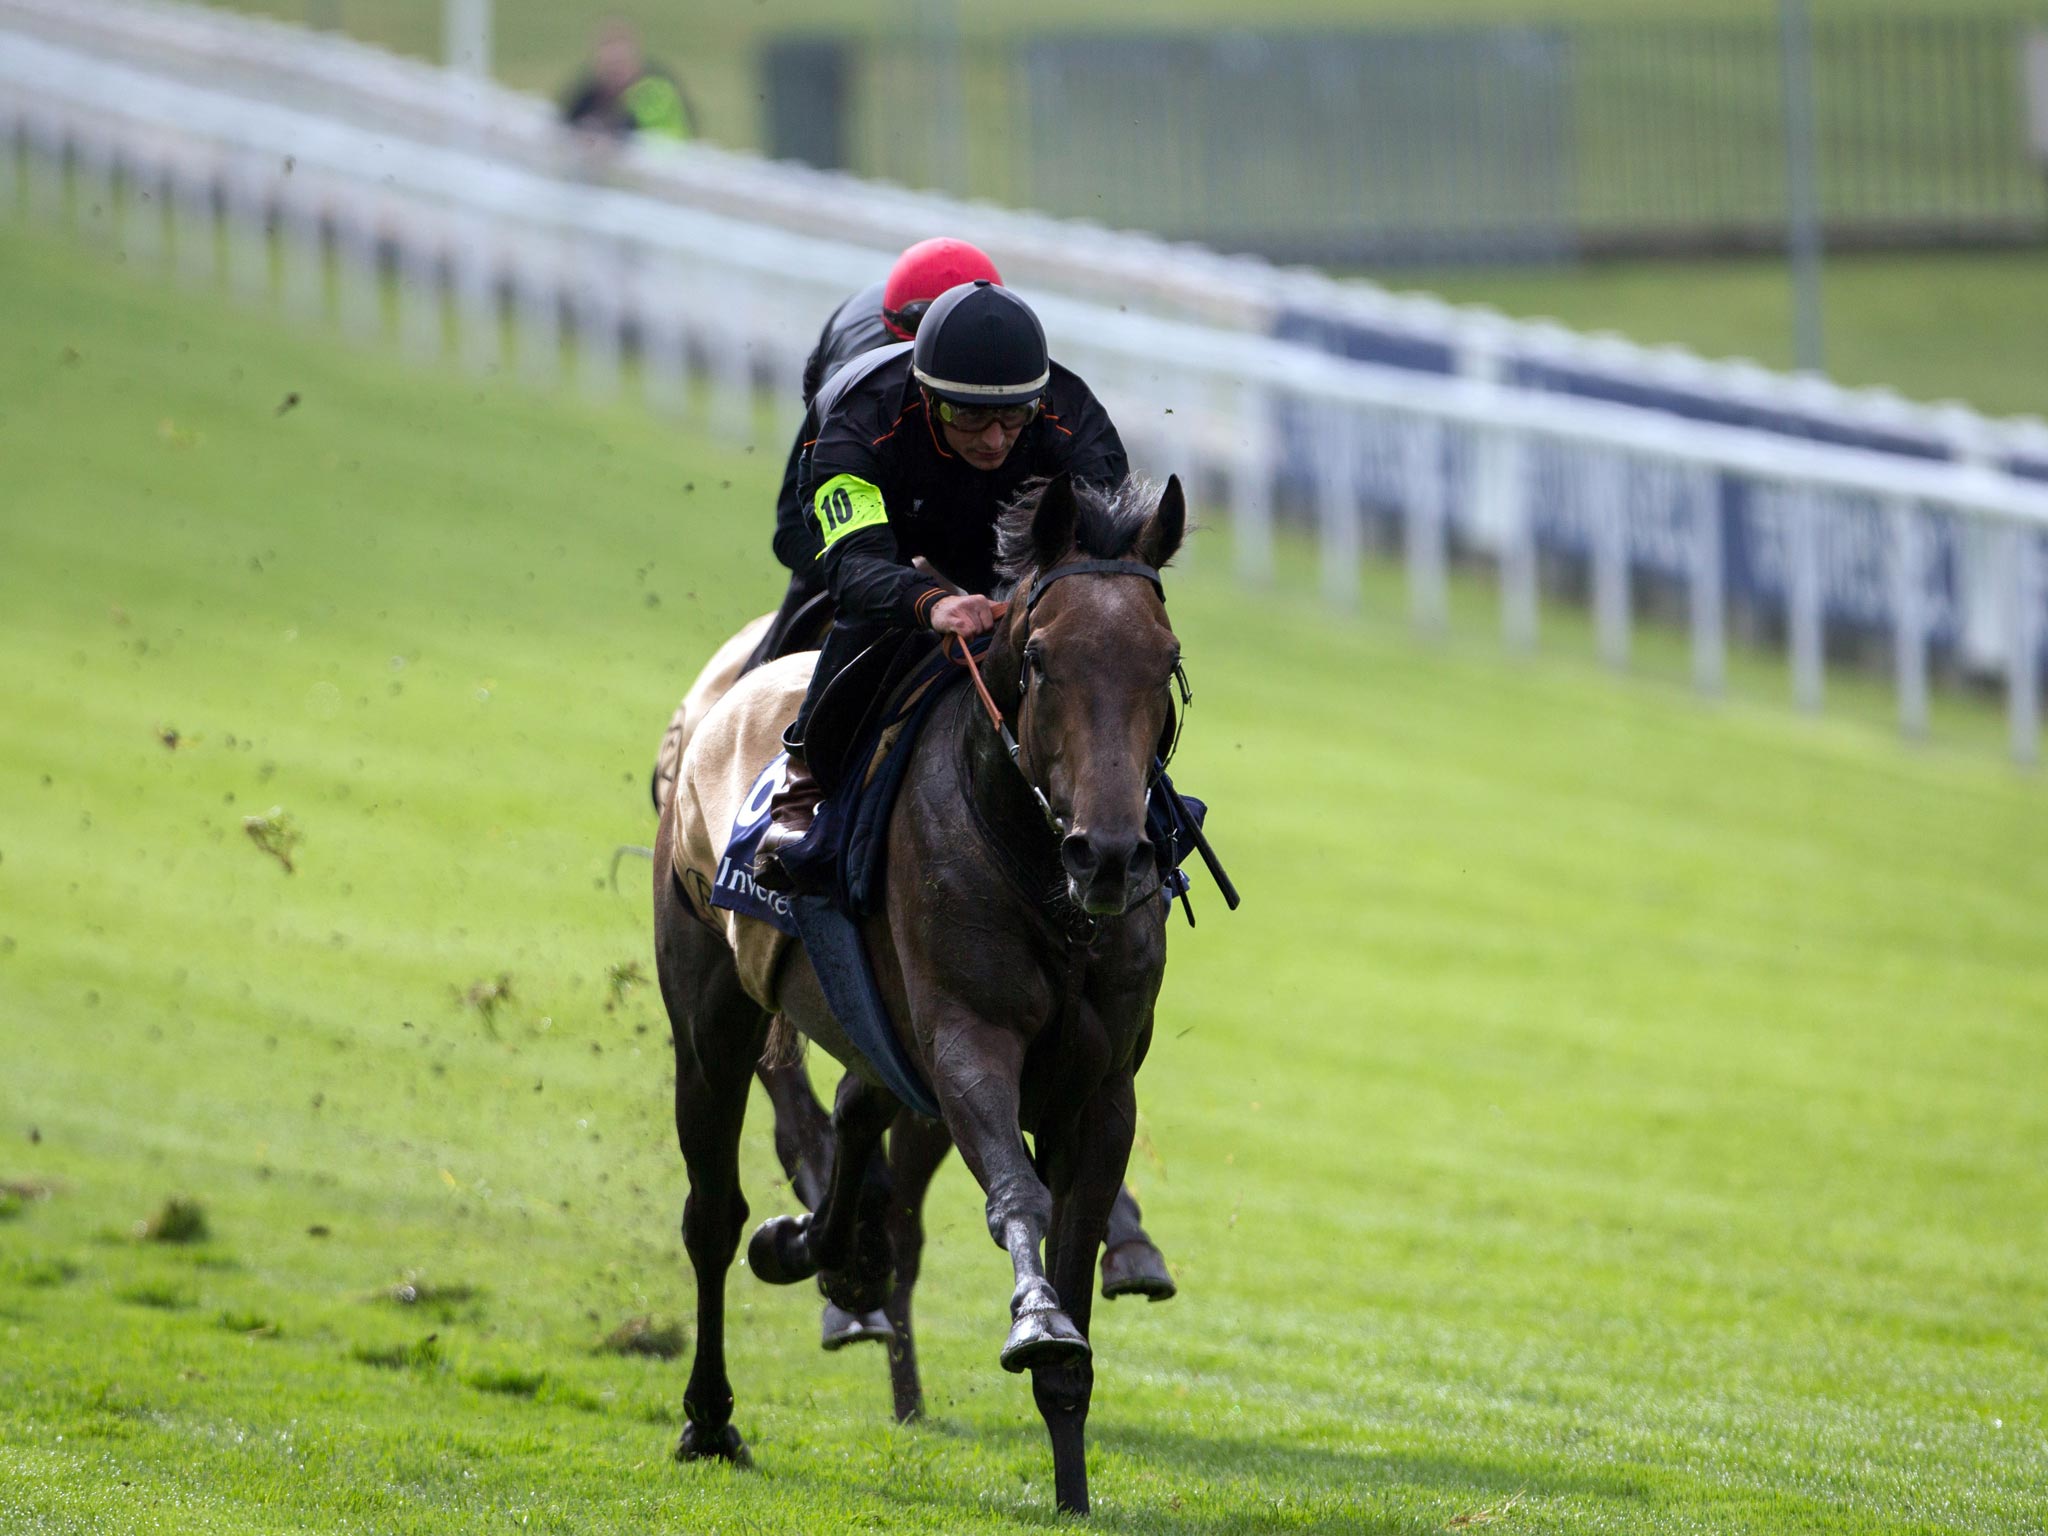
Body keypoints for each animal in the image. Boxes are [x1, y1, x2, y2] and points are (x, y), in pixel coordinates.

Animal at [647, 473, 1196, 1515]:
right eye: (1039, 657)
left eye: (1168, 660)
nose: (1108, 856)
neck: (1042, 881)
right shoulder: (968, 1043)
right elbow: (1018, 1195)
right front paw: (1033, 1321)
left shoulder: (1101, 1091)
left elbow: (1076, 1241)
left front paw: (1071, 1485)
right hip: (710, 1008)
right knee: (710, 1214)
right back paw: (711, 1414)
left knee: (857, 1123)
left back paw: (827, 1255)